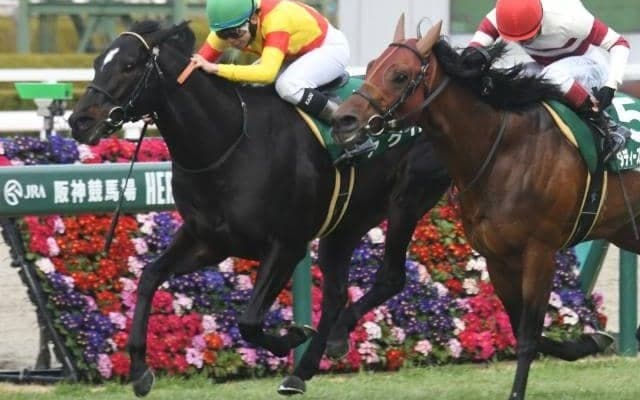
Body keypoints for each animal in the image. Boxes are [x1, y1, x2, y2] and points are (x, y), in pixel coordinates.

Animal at [68, 20, 451, 396]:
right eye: (97, 62)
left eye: (129, 65)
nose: (79, 121)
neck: (229, 145)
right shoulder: (209, 241)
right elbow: (149, 277)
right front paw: (139, 369)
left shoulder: (287, 246)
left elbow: (248, 321)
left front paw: (292, 335)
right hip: (347, 220)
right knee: (337, 293)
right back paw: (305, 368)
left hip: (406, 200)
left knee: (390, 277)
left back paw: (331, 342)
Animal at [331, 16, 629, 400]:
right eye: (369, 67)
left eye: (399, 75)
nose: (343, 120)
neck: (504, 148)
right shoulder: (498, 257)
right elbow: (522, 328)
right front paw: (588, 342)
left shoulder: (540, 251)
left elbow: (528, 336)